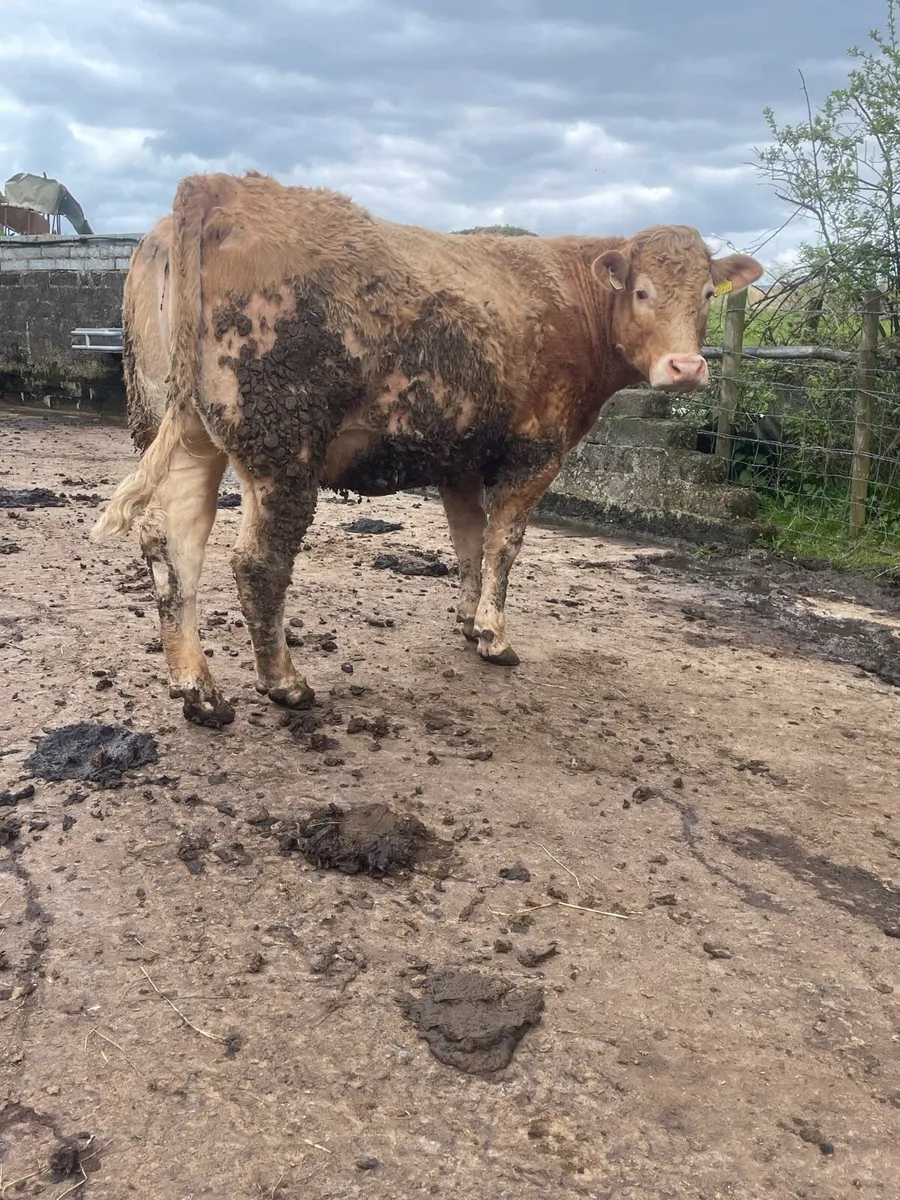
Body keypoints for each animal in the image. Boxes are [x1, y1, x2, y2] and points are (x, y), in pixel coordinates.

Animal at [91, 170, 763, 728]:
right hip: (284, 442)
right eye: (642, 291)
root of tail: (219, 185)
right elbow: (504, 543)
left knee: (171, 546)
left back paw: (199, 691)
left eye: (707, 293)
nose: (685, 368)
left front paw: (467, 621)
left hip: (181, 430)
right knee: (258, 562)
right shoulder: (538, 448)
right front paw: (494, 635)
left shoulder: (458, 458)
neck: (573, 300)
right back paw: (284, 683)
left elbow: (469, 540)